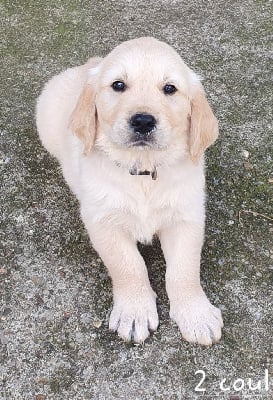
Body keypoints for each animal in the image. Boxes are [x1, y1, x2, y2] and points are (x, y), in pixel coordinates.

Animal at [36, 36, 222, 344]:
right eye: (118, 85)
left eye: (169, 88)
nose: (143, 121)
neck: (143, 172)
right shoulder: (103, 222)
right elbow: (128, 266)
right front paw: (134, 312)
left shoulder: (187, 217)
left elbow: (184, 270)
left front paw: (196, 314)